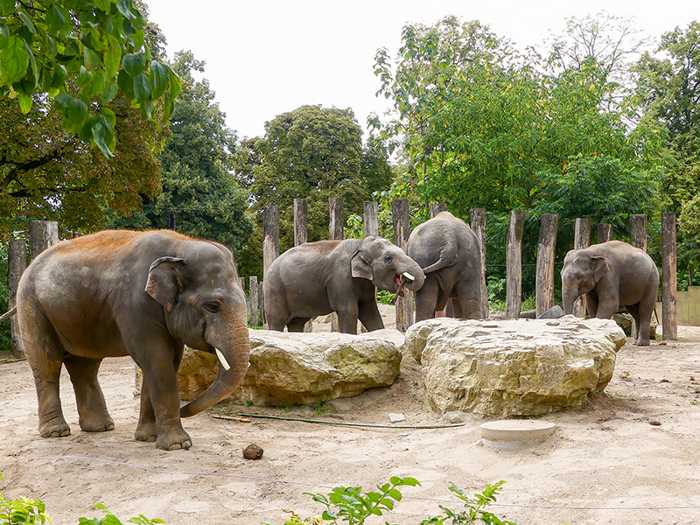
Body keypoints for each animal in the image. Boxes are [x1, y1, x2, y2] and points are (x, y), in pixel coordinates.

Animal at [14, 230, 252, 450]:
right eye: (212, 306)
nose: (184, 411)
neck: (181, 243)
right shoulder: (135, 304)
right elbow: (157, 359)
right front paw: (178, 445)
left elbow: (167, 360)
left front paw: (148, 438)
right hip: (31, 306)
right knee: (48, 363)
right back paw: (57, 433)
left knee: (85, 366)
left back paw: (100, 428)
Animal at [264, 236, 424, 334]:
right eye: (388, 259)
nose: (406, 281)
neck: (359, 244)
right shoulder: (340, 277)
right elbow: (349, 310)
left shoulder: (365, 283)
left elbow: (370, 311)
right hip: (274, 289)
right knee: (277, 320)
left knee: (297, 322)